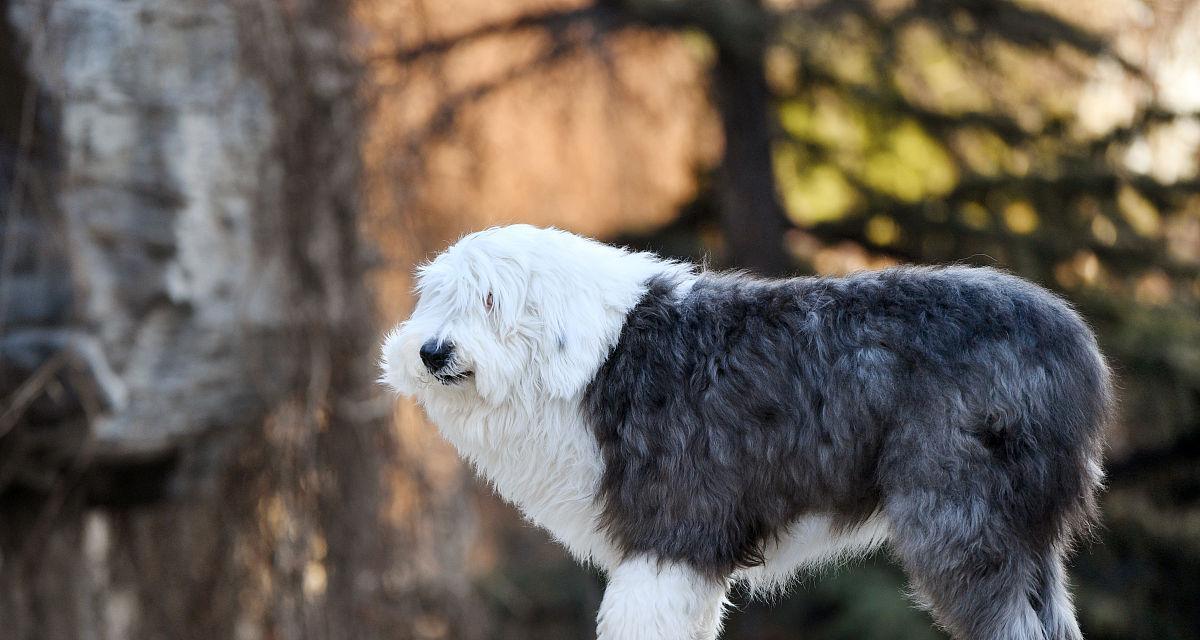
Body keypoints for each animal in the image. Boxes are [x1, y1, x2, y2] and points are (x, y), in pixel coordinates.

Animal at [379, 224, 1108, 638]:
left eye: (491, 300)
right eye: (437, 297)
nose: (432, 352)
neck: (590, 359)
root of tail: (1073, 342)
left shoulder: (672, 536)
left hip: (960, 517)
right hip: (1026, 534)